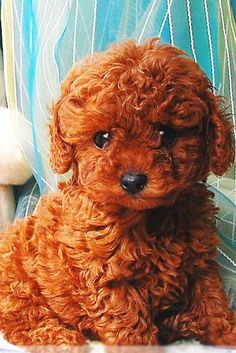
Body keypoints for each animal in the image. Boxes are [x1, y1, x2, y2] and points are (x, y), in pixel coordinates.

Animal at [0, 37, 236, 344]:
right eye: (102, 138)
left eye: (167, 134)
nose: (133, 181)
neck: (148, 219)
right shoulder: (109, 279)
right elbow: (131, 326)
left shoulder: (200, 263)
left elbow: (212, 303)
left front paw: (227, 333)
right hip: (18, 282)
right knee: (21, 319)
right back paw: (58, 337)